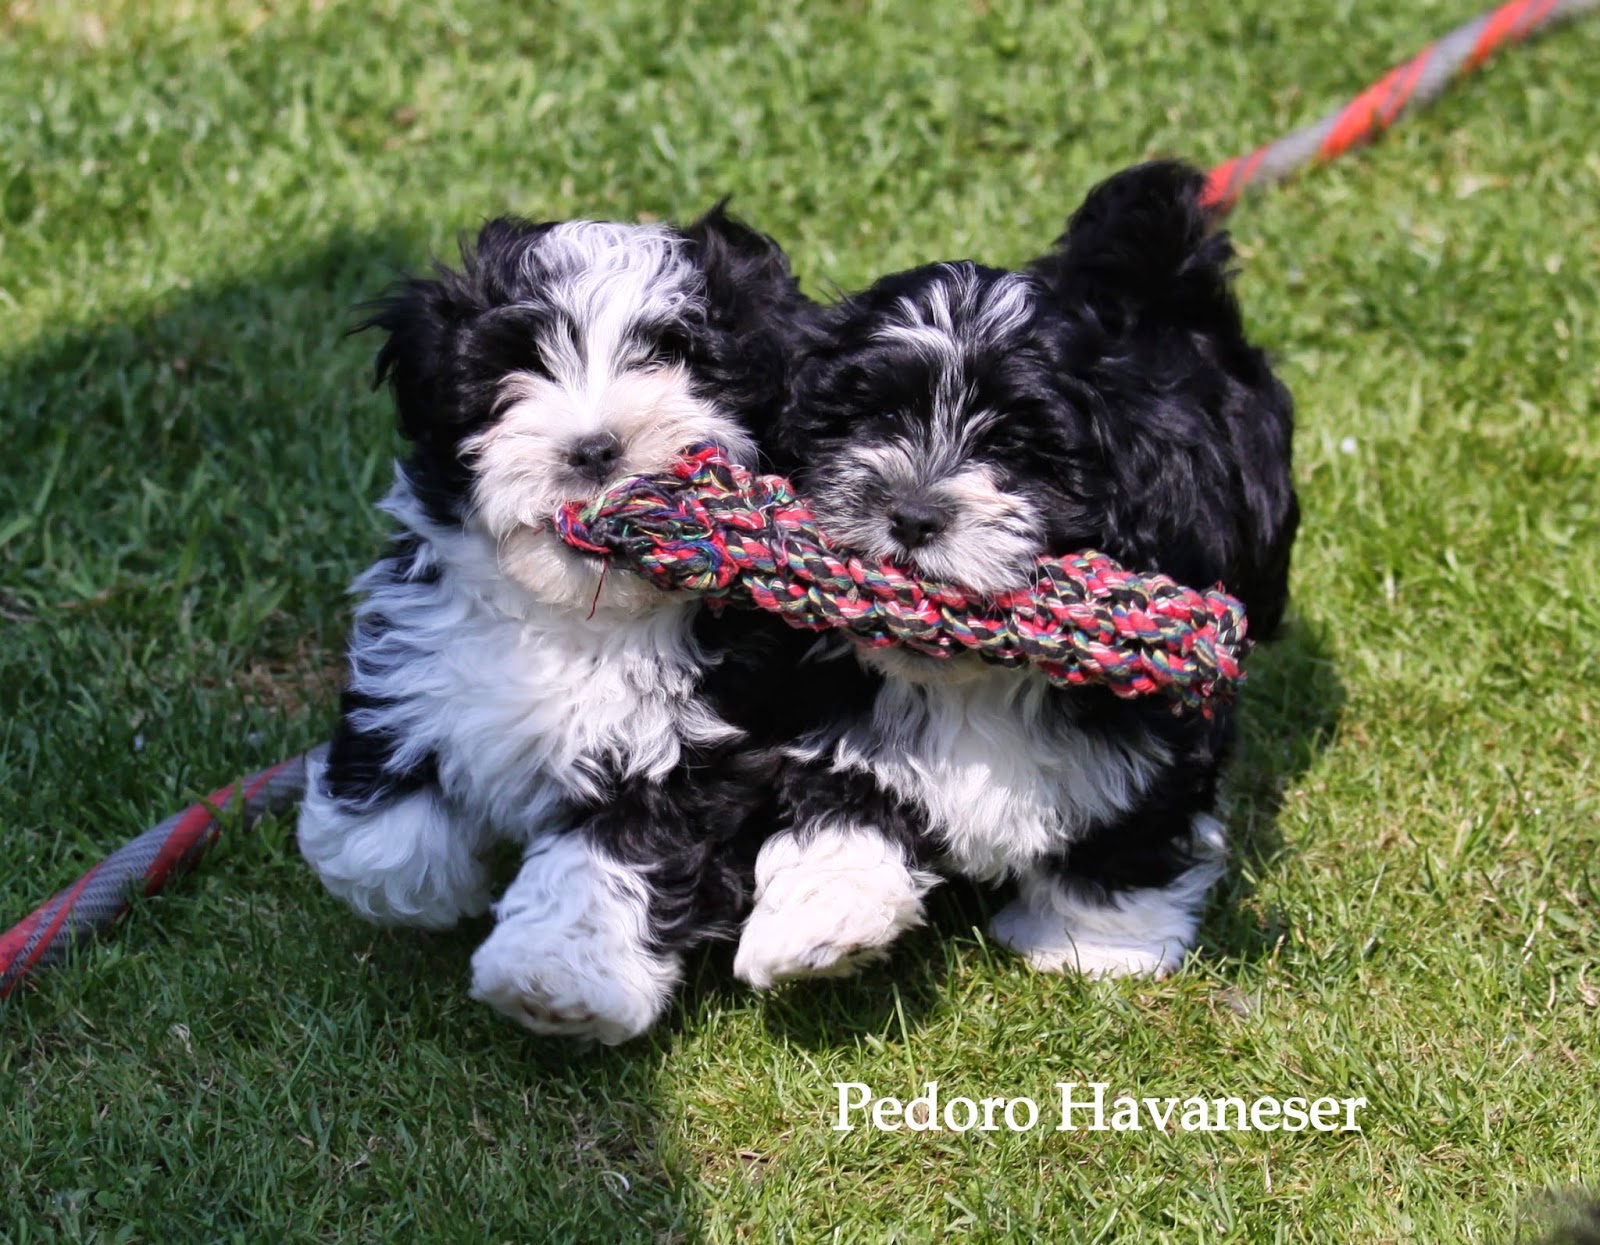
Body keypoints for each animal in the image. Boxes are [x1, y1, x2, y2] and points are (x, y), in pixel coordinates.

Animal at [297, 208, 825, 1043]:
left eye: (681, 360)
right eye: (519, 367)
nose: (594, 447)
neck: (576, 615)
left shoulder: (692, 741)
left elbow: (612, 852)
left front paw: (556, 977)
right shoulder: (415, 649)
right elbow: (369, 843)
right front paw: (426, 882)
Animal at [736, 162, 1299, 979]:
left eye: (1017, 451)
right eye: (872, 420)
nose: (912, 514)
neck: (974, 676)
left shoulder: (1162, 723)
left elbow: (1130, 822)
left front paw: (1094, 945)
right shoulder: (825, 703)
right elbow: (840, 787)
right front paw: (823, 914)